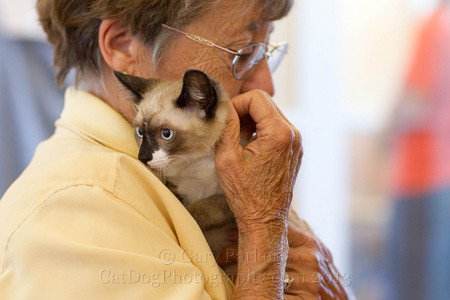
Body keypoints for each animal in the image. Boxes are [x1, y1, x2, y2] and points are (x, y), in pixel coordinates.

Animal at [115, 68, 236, 264]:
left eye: (166, 134)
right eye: (140, 132)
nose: (142, 157)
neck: (193, 163)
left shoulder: (227, 198)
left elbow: (199, 211)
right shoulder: (175, 185)